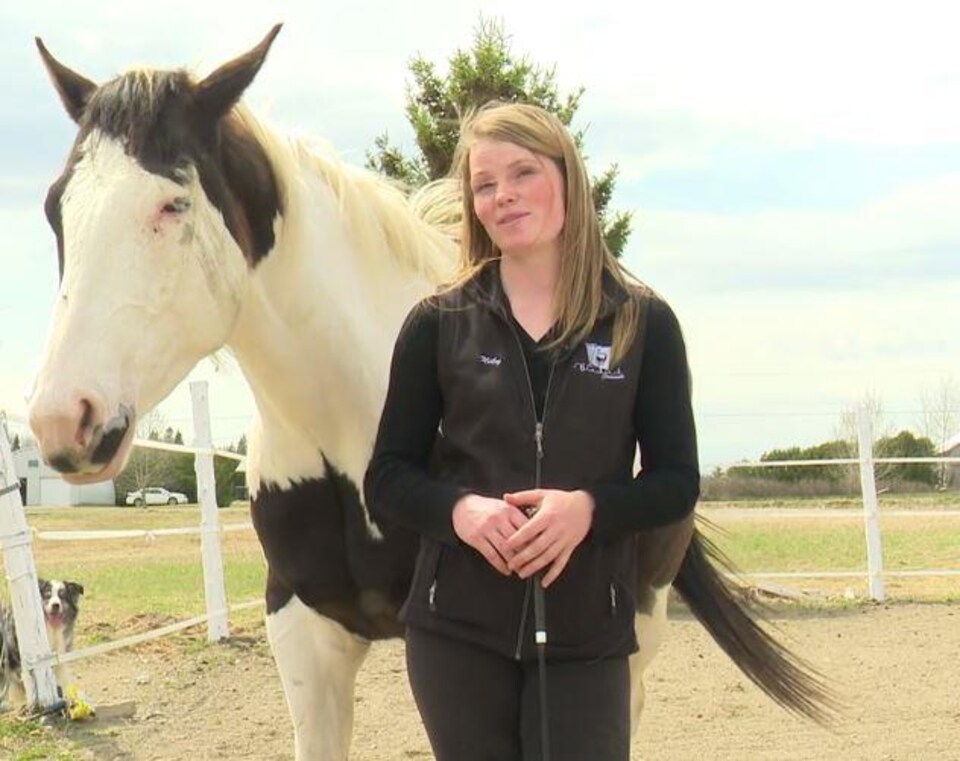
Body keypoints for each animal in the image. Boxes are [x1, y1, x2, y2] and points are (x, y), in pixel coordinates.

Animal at [0, 580, 83, 708]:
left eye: (62, 596)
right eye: (48, 596)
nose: (55, 605)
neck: (50, 629)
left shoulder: (58, 659)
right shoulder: (17, 662)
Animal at [26, 23, 828, 760]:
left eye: (173, 204)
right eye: (55, 207)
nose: (63, 419)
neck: (348, 418)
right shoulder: (302, 630)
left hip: (639, 626)